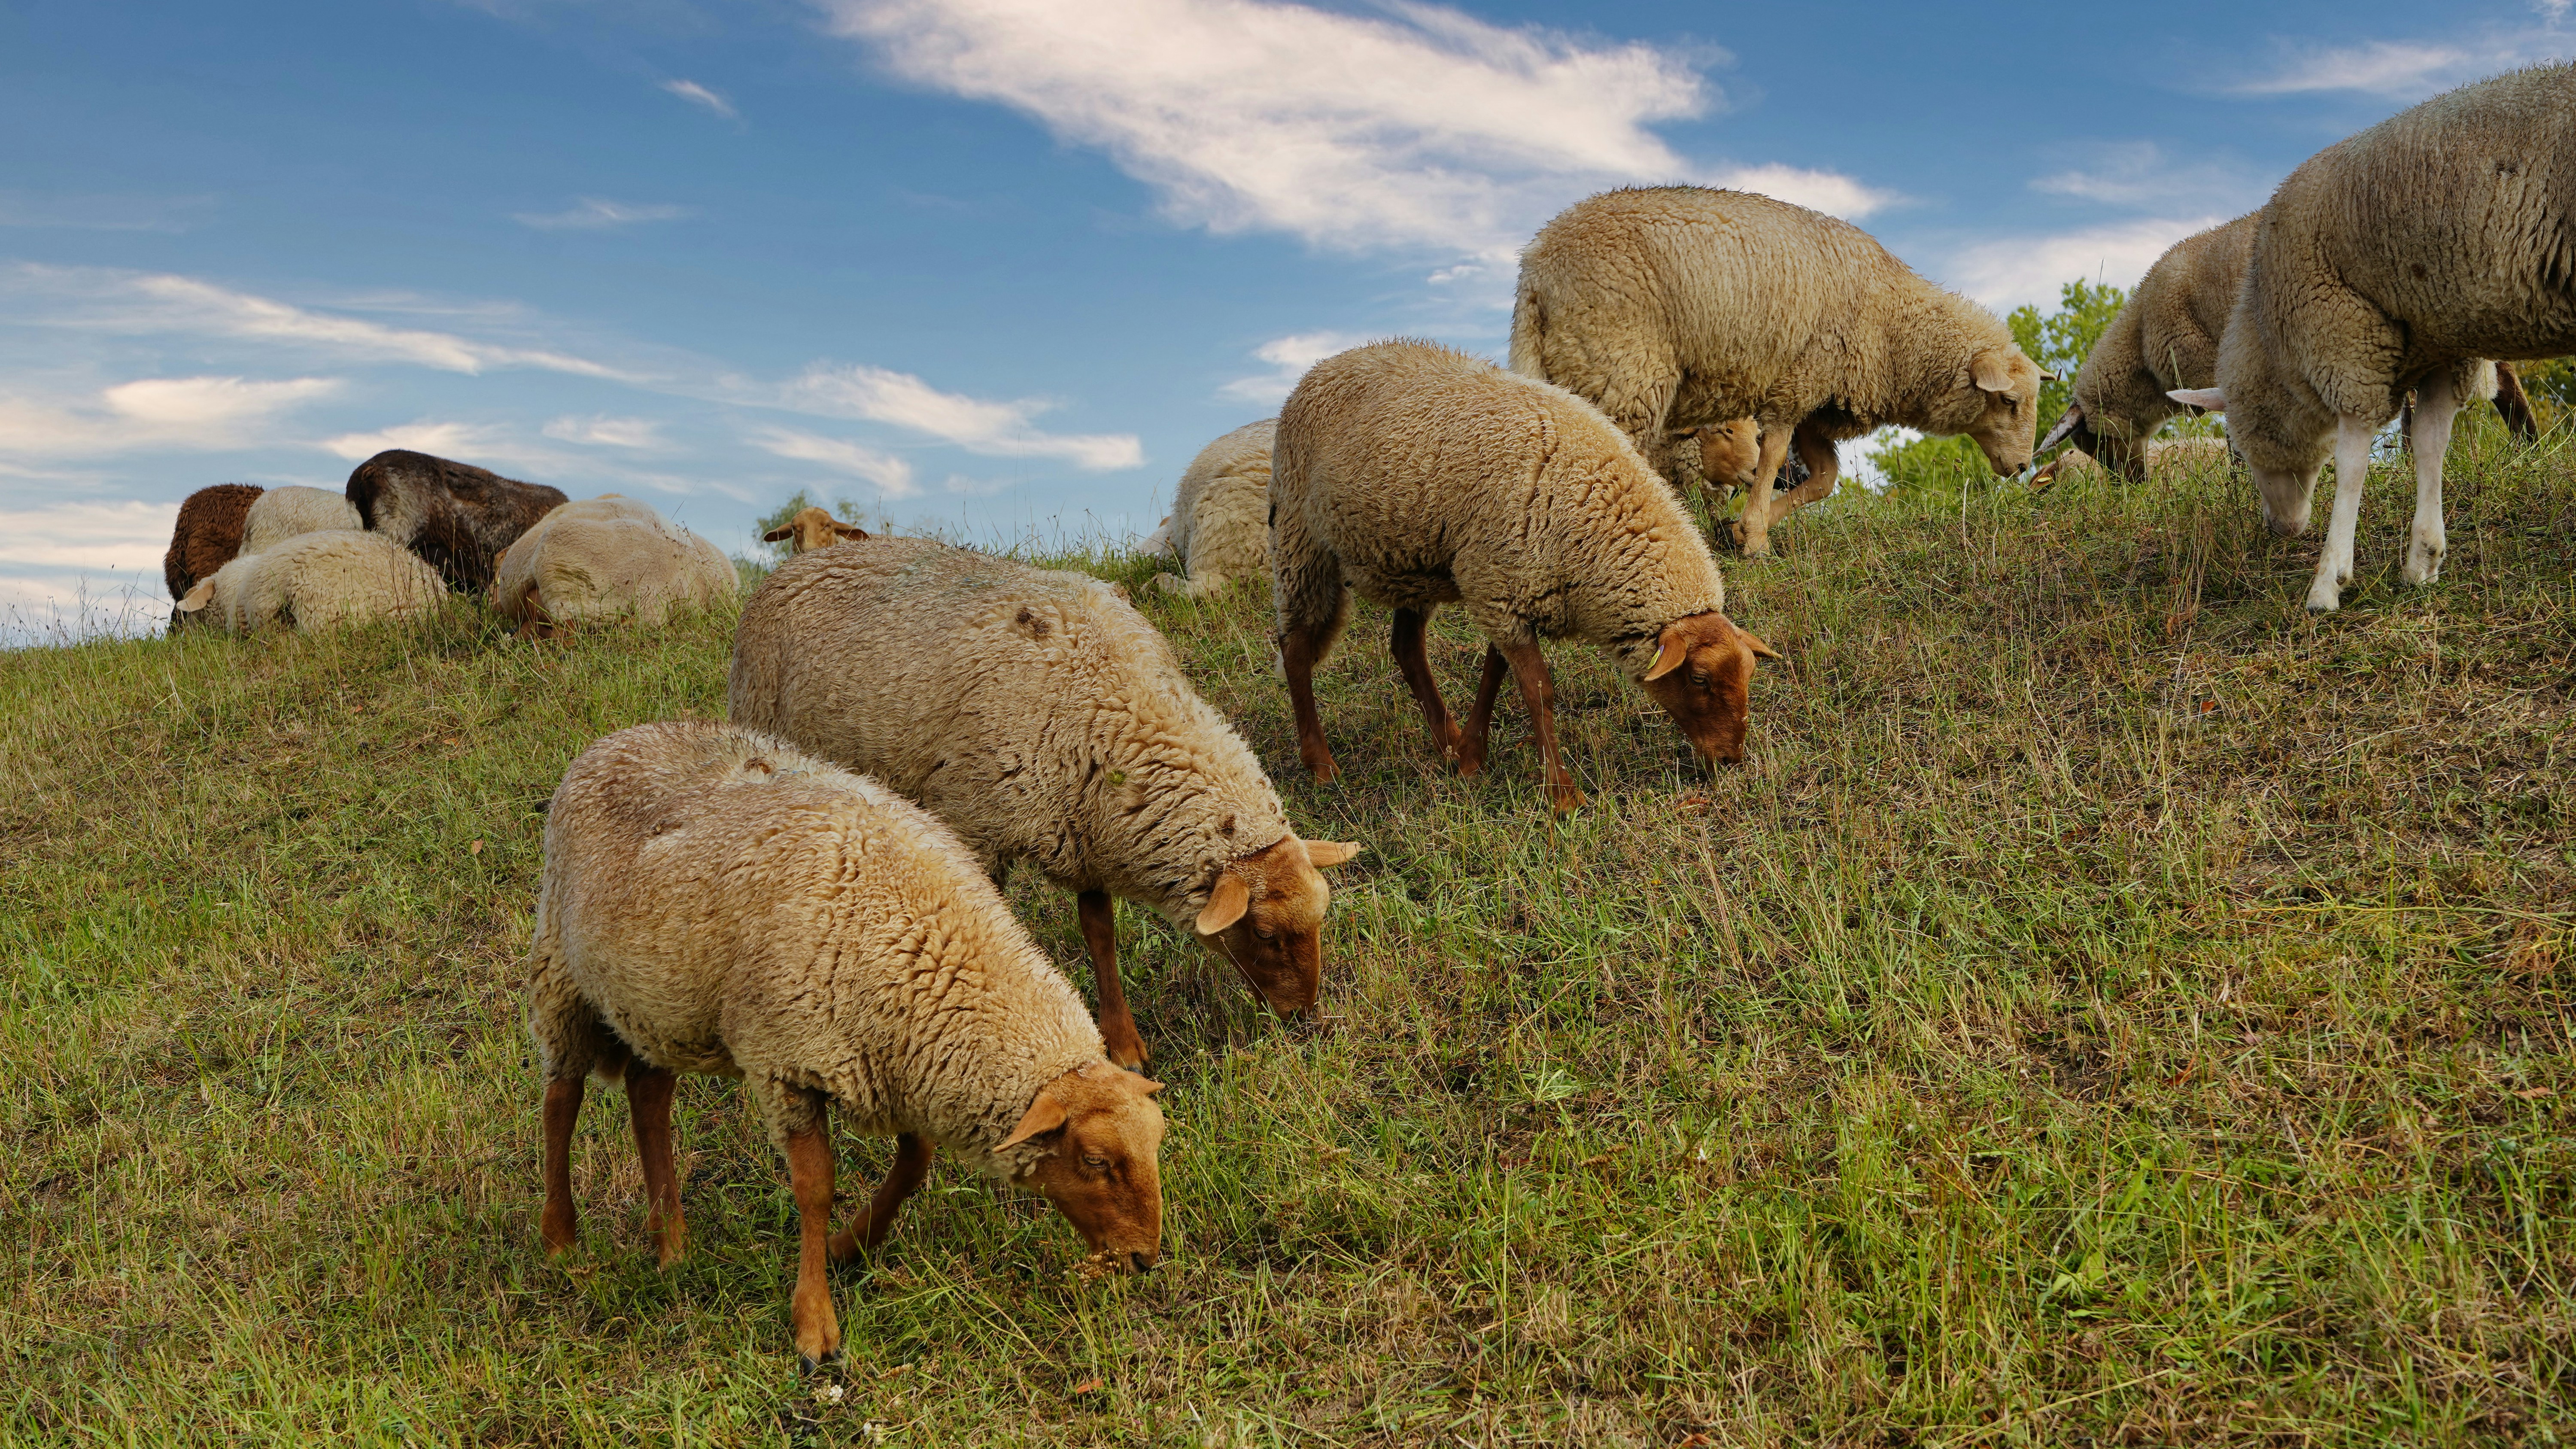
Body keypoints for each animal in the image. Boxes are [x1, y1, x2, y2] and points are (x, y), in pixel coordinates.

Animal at [530, 720, 1166, 1367]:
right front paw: (815, 1323)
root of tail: (618, 738)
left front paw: (849, 1246)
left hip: (659, 1003)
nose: (1145, 1257)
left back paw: (672, 1244)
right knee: (562, 1099)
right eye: (1095, 1161)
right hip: (562, 970)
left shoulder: (903, 1067)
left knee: (648, 1093)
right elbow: (816, 1189)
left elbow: (915, 1164)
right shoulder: (787, 1067)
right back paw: (560, 1238)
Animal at [729, 538, 1362, 1070]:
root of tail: (795, 565)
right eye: (1265, 934)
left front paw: (1124, 1043)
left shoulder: (1089, 828)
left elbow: (1100, 933)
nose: (1306, 1018)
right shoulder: (978, 826)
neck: (1111, 702)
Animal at [1273, 339, 1781, 813]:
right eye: (1699, 679)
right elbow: (1538, 692)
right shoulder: (1499, 588)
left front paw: (1470, 758)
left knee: (1406, 648)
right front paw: (1561, 794)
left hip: (1413, 562)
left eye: (1749, 674)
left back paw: (1446, 742)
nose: (1731, 758)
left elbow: (1495, 674)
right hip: (1300, 540)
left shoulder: (1508, 585)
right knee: (1295, 648)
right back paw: (1321, 764)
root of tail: (1320, 368)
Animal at [1511, 186, 2047, 556]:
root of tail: (1536, 269)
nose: (2024, 467)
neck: (1893, 325)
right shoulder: (1801, 379)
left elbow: (1823, 479)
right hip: (1622, 368)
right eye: (2009, 401)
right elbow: (1771, 458)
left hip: (1579, 368)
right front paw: (1753, 538)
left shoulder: (1820, 400)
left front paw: (1742, 529)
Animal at [2167, 63, 2576, 610]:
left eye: (2241, 446)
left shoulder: (2345, 336)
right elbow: (2429, 444)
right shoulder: (2441, 349)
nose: (2277, 530)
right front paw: (2424, 559)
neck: (2271, 340)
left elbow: (2351, 464)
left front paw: (2328, 581)